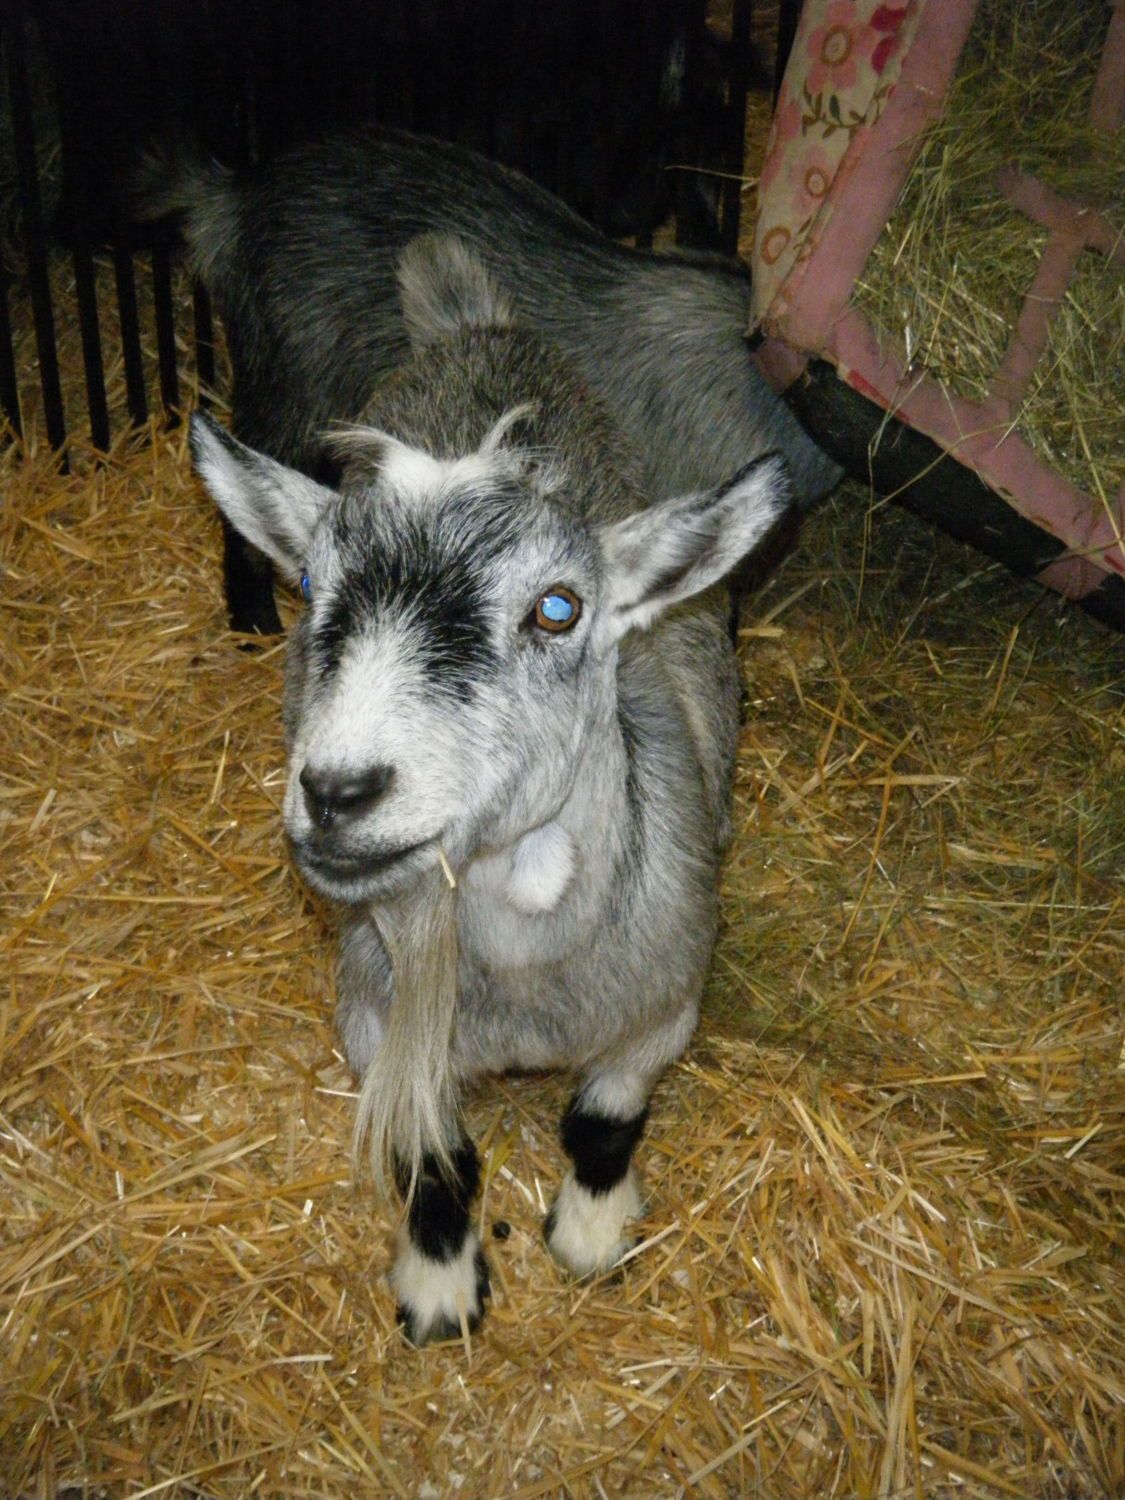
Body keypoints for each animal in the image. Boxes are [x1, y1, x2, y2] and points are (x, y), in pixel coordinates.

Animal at [189, 232, 792, 1345]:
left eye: (559, 609)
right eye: (314, 589)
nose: (338, 791)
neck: (524, 983)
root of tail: (476, 325)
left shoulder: (666, 1006)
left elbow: (602, 1121)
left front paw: (591, 1235)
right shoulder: (375, 1017)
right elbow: (436, 1159)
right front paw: (440, 1289)